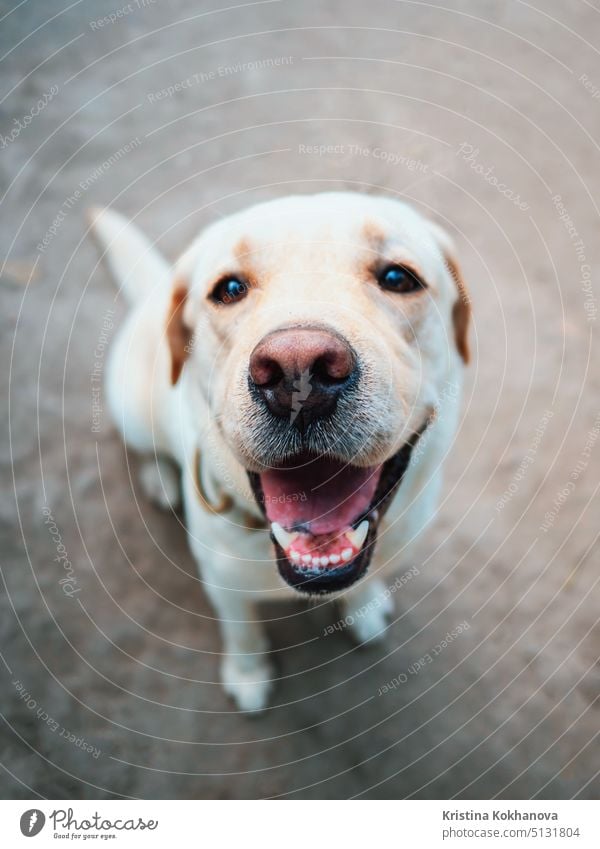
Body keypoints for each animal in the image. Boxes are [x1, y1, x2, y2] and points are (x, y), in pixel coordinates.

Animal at [91, 192, 472, 708]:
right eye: (229, 288)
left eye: (398, 278)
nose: (298, 370)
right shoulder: (223, 584)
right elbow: (242, 630)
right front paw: (248, 673)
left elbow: (366, 581)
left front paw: (365, 607)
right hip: (131, 404)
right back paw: (159, 476)